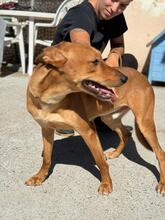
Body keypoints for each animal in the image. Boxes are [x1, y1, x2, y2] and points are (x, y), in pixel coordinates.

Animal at [25, 42, 165, 195]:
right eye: (95, 61)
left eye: (100, 59)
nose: (125, 79)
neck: (51, 98)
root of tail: (142, 75)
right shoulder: (46, 129)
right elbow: (46, 158)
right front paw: (39, 176)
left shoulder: (88, 131)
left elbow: (100, 161)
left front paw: (106, 184)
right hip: (109, 119)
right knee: (126, 133)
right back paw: (115, 153)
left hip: (144, 123)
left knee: (160, 153)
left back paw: (162, 184)